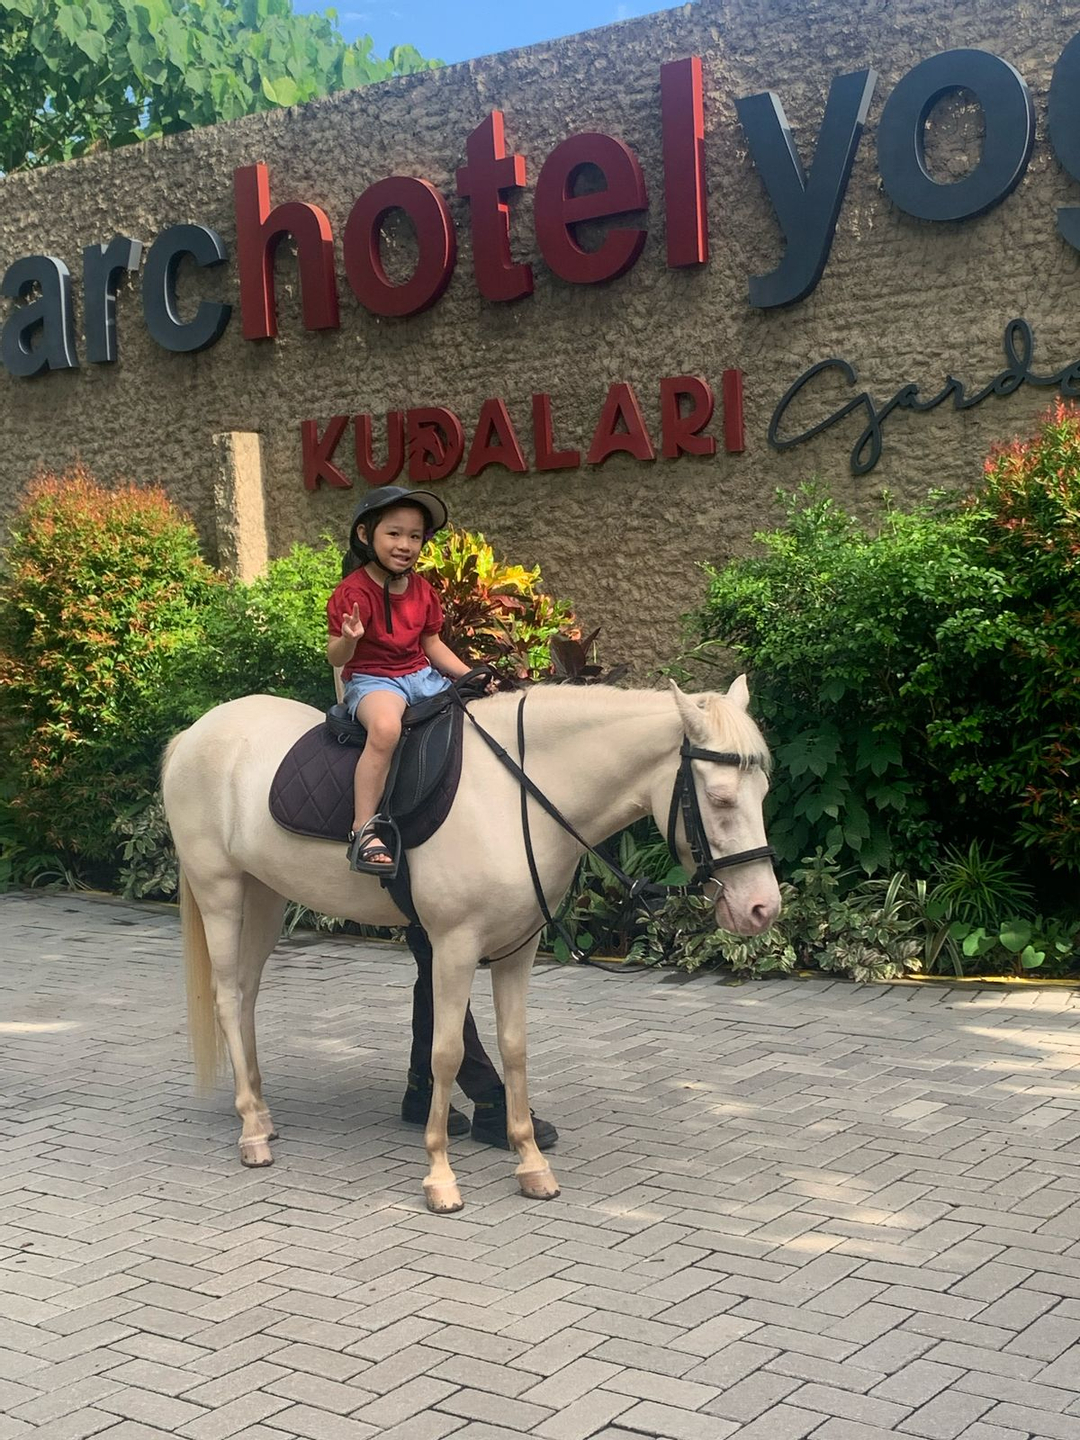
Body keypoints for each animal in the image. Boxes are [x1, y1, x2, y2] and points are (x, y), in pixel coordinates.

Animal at [162, 677, 781, 1214]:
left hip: (264, 896)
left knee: (245, 996)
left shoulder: (518, 949)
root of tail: (193, 735)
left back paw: (261, 1114)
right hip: (221, 893)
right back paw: (251, 1131)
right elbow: (446, 1052)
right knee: (227, 998)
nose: (763, 909)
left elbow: (513, 1047)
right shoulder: (453, 947)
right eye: (720, 799)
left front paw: (529, 1162)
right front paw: (440, 1175)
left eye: (764, 792)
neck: (514, 794)